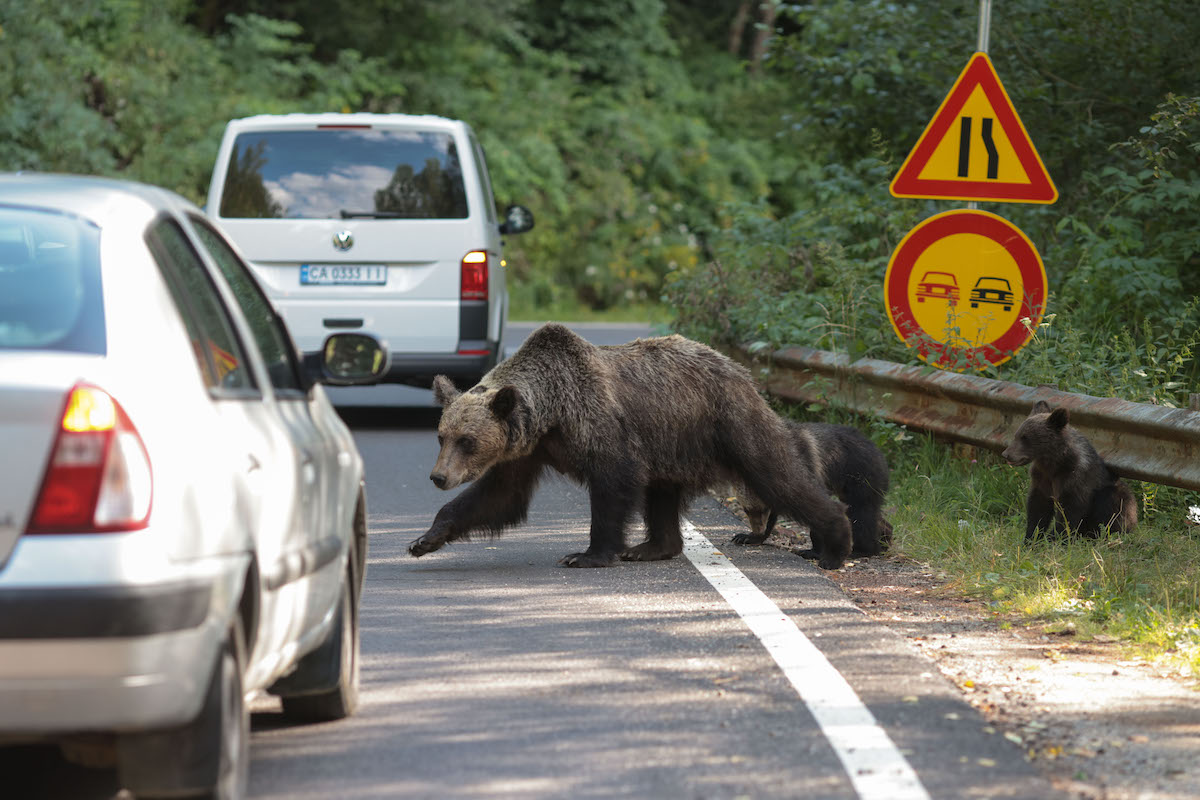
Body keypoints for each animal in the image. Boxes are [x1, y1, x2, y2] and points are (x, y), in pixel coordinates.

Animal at [410, 323, 854, 568]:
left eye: (467, 441)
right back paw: (652, 546)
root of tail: (737, 367)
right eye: (442, 436)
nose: (438, 476)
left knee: (776, 472)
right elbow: (499, 496)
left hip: (726, 420)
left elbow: (613, 483)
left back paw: (833, 542)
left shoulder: (598, 425)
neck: (552, 412)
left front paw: (586, 555)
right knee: (662, 496)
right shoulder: (529, 449)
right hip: (671, 443)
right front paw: (424, 539)